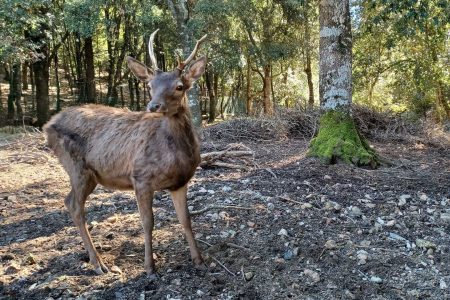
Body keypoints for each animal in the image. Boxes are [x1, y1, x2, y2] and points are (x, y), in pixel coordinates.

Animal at [43, 30, 208, 276]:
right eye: (150, 85)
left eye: (179, 86)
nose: (153, 106)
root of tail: (47, 125)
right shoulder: (140, 177)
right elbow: (147, 222)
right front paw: (149, 266)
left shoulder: (180, 182)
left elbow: (185, 219)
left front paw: (198, 259)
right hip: (76, 167)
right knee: (74, 205)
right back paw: (98, 263)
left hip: (88, 174)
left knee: (69, 201)